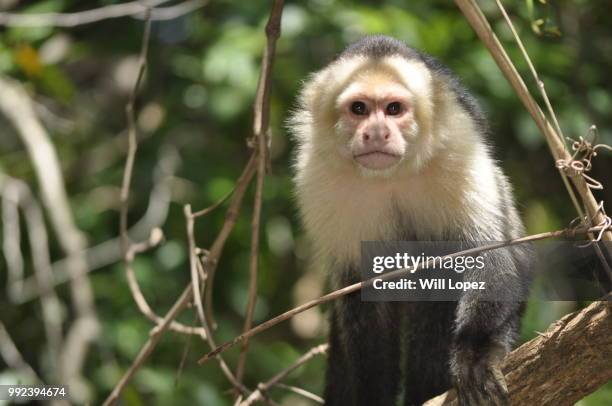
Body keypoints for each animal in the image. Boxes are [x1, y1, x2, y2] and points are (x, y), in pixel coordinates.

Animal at [290, 36, 532, 404]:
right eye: (359, 109)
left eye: (394, 109)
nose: (376, 133)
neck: (392, 175)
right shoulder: (318, 176)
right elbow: (365, 293)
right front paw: (372, 393)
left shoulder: (459, 148)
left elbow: (491, 257)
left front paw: (475, 355)